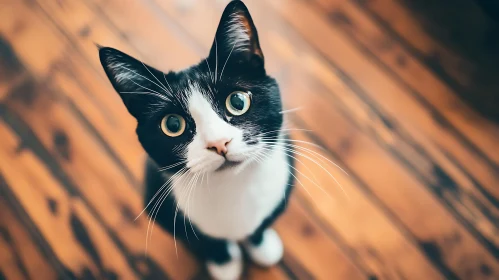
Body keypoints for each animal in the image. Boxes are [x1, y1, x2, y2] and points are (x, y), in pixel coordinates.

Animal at [97, 1, 292, 278]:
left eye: (238, 101)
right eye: (173, 125)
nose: (219, 143)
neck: (233, 188)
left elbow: (260, 226)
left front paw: (262, 247)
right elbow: (205, 241)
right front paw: (225, 264)